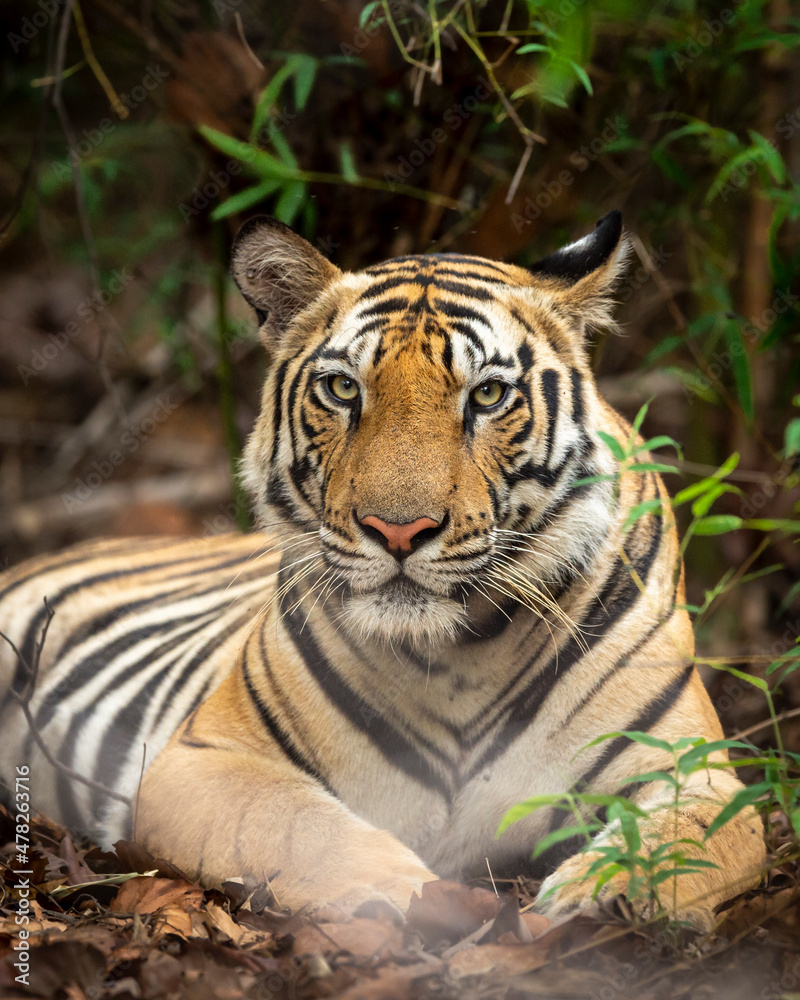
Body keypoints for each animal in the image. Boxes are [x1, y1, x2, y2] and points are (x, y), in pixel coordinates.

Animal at [0, 211, 764, 928]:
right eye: (343, 389)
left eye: (487, 396)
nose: (399, 530)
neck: (461, 656)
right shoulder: (206, 757)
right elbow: (302, 829)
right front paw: (413, 899)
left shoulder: (693, 771)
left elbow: (689, 840)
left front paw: (600, 895)